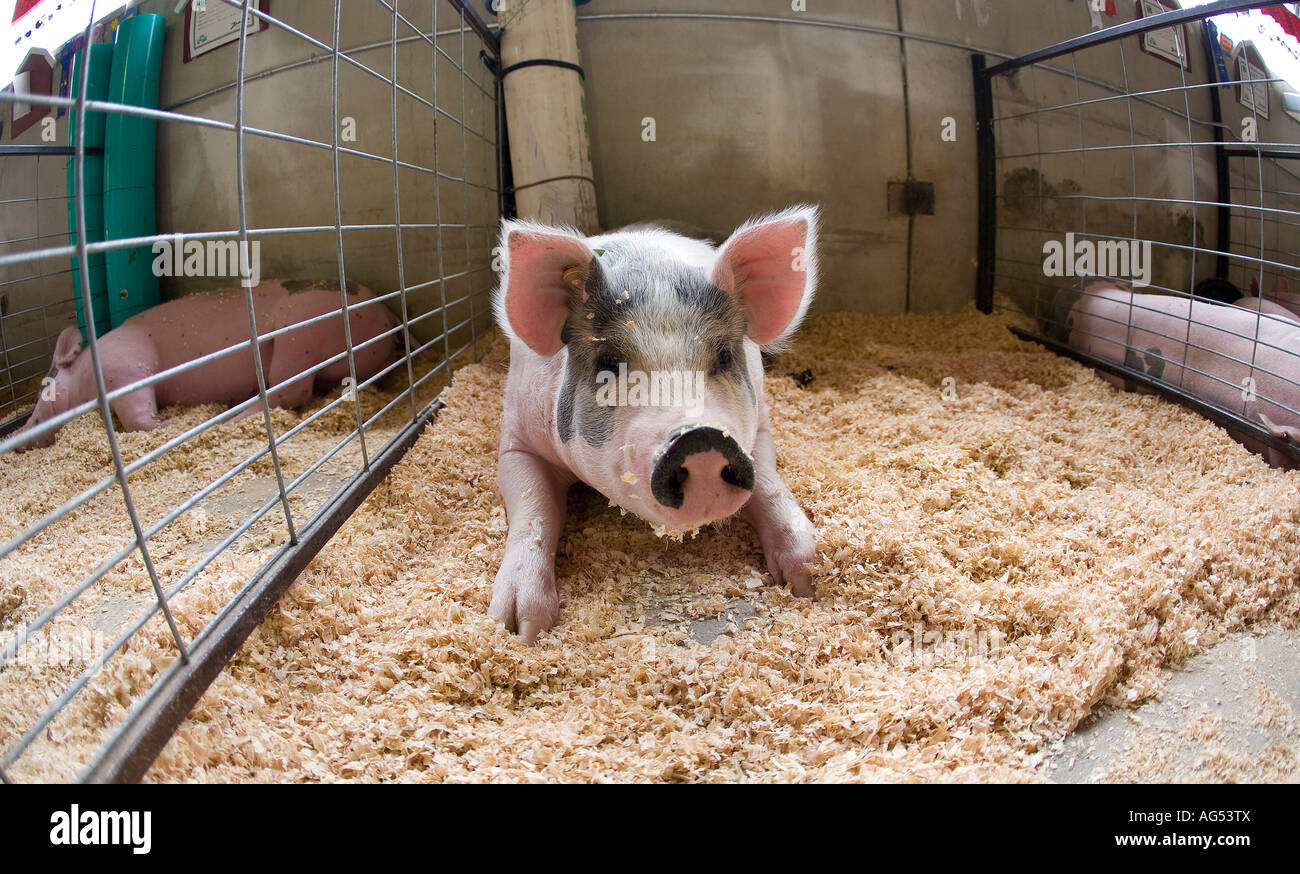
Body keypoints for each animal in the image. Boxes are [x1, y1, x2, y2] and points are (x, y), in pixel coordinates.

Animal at [18, 279, 401, 448]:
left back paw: (225, 420)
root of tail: (389, 316)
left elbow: (138, 417)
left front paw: (171, 425)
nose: (21, 435)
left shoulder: (127, 367)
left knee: (288, 393)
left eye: (45, 389)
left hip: (299, 336)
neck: (88, 376)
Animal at [491, 206, 820, 643]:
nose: (700, 438)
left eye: (723, 355)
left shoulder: (761, 425)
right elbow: (534, 507)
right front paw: (519, 630)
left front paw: (807, 579)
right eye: (610, 363)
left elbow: (767, 483)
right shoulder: (517, 440)